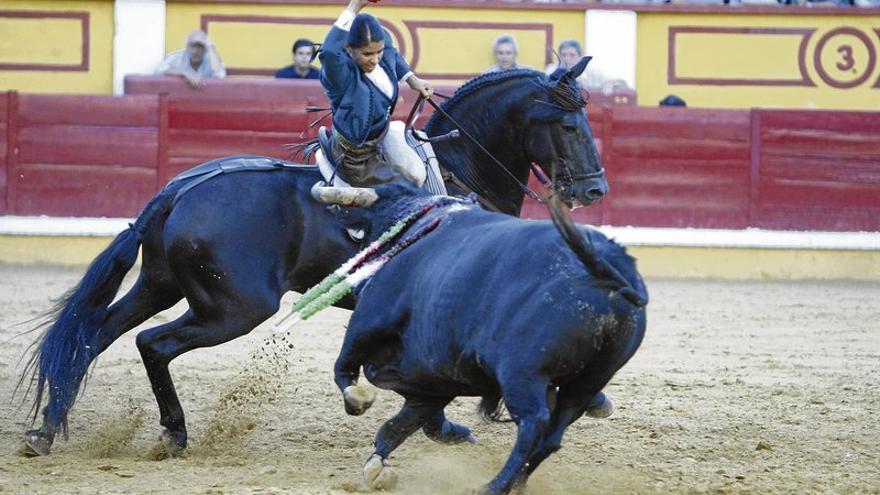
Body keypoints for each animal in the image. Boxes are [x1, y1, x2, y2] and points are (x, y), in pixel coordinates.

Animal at [24, 58, 608, 458]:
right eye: (569, 126)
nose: (594, 189)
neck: (461, 171)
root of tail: (179, 189)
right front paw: (460, 421)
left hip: (160, 284)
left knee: (95, 335)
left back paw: (46, 430)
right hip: (234, 308)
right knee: (153, 343)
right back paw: (173, 432)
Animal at [336, 187, 648, 495]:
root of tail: (611, 273)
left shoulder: (370, 321)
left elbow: (344, 369)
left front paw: (357, 400)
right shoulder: (433, 381)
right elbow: (396, 427)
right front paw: (377, 466)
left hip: (522, 374)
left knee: (534, 423)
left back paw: (494, 486)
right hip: (587, 382)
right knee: (552, 435)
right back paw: (517, 484)